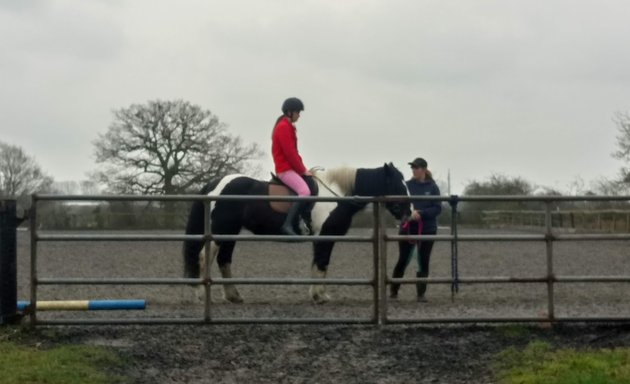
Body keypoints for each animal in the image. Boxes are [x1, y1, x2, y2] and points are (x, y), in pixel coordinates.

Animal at [183, 162, 412, 304]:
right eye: (397, 185)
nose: (409, 213)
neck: (336, 194)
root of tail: (214, 184)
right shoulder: (325, 236)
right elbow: (322, 264)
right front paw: (320, 296)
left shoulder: (321, 237)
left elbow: (317, 265)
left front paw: (316, 294)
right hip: (220, 231)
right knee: (203, 258)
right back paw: (202, 296)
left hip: (230, 232)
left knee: (224, 260)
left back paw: (233, 296)